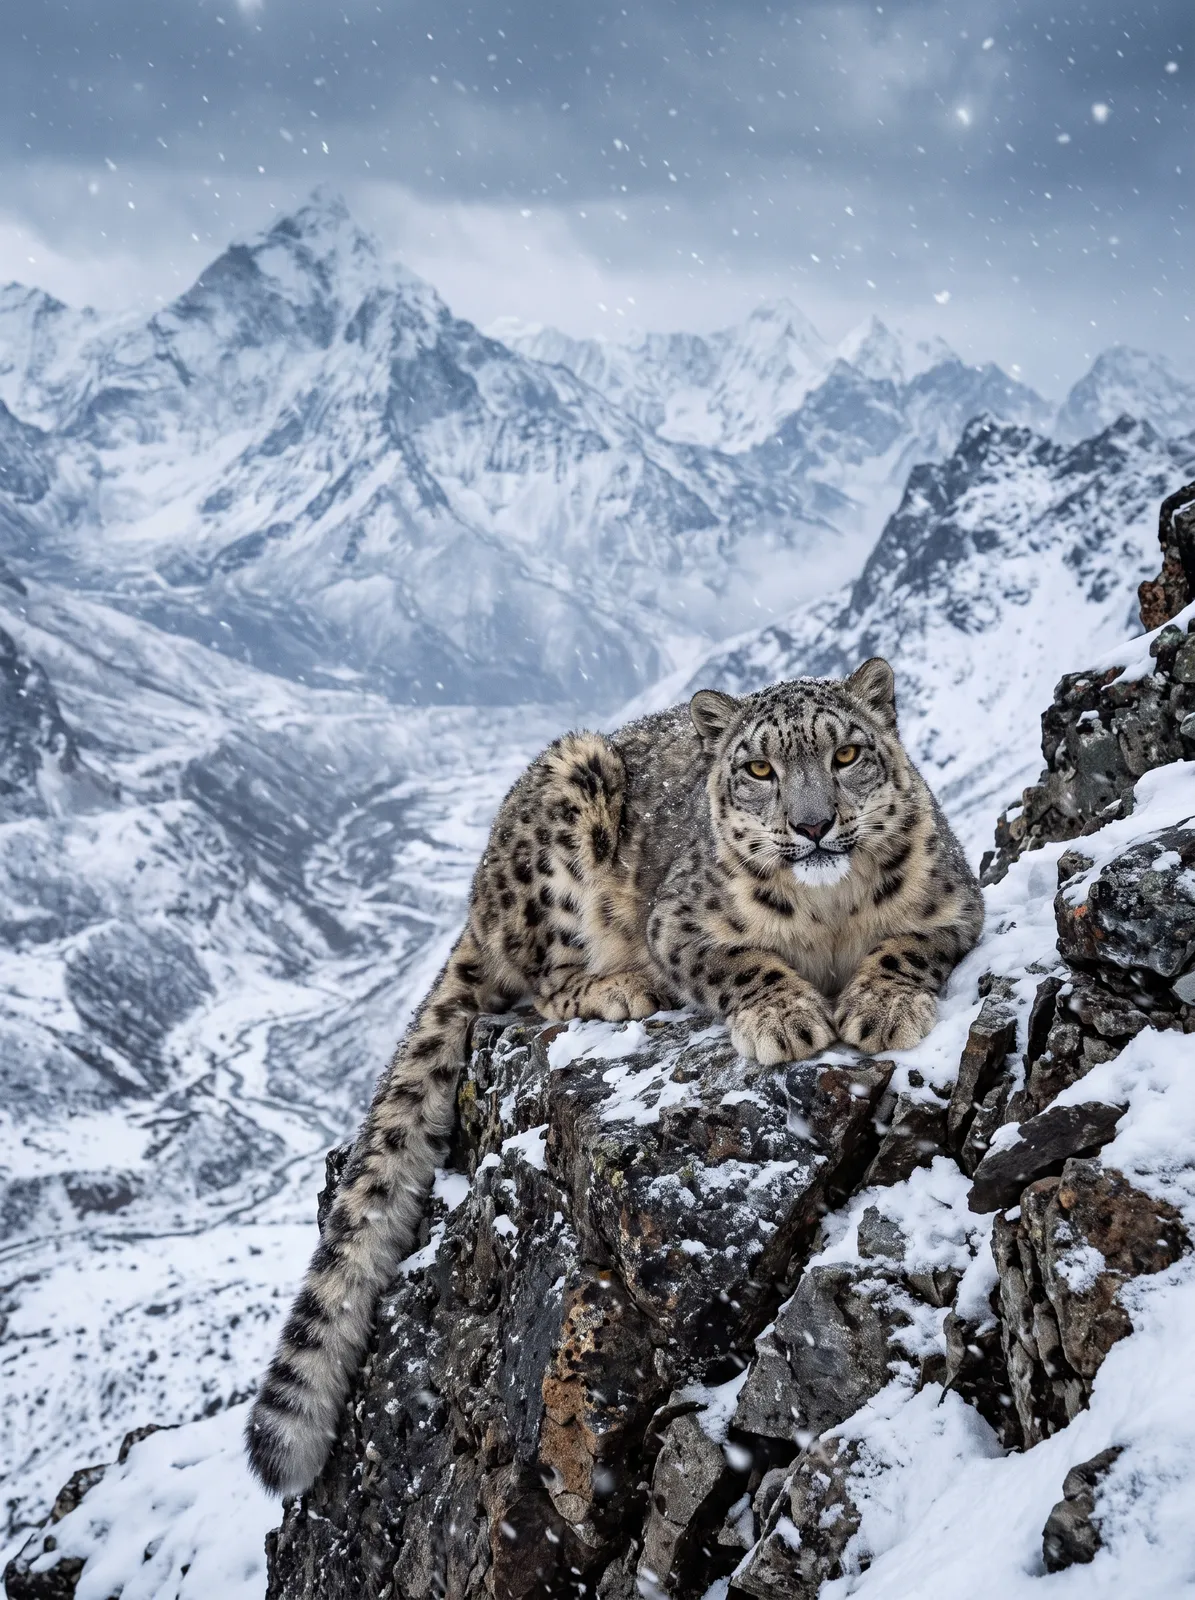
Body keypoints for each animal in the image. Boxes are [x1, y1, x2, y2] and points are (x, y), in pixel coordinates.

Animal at [246, 656, 983, 1495]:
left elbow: (907, 943)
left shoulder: (955, 902)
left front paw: (881, 1004)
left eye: (846, 754)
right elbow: (740, 962)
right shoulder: (680, 925)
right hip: (567, 809)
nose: (812, 825)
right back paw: (619, 986)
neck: (828, 918)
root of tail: (476, 897)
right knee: (544, 982)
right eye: (759, 769)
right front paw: (784, 1016)